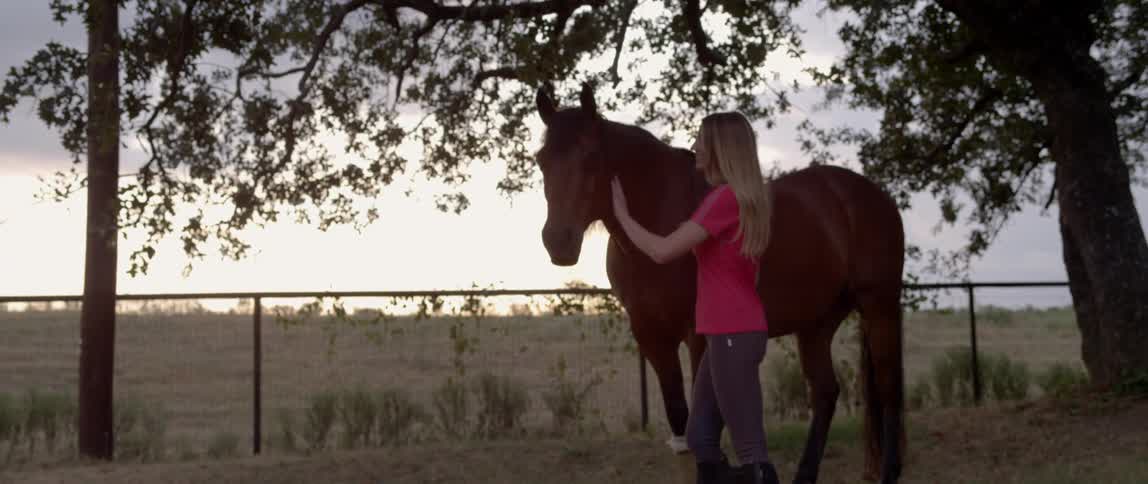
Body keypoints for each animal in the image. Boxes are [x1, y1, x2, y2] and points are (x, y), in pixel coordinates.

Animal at [531, 82, 906, 484]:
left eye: (590, 157)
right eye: (541, 159)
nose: (557, 241)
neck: (660, 216)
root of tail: (869, 194)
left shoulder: (698, 337)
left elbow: (703, 425)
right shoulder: (652, 337)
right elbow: (680, 420)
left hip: (879, 306)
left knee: (888, 387)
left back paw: (889, 472)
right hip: (816, 323)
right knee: (825, 392)